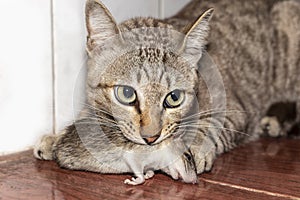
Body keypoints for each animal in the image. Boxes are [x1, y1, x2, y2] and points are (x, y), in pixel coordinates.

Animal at [34, 0, 300, 183]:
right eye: (127, 94)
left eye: (174, 98)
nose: (151, 138)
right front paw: (56, 138)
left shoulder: (235, 109)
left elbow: (210, 124)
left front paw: (194, 148)